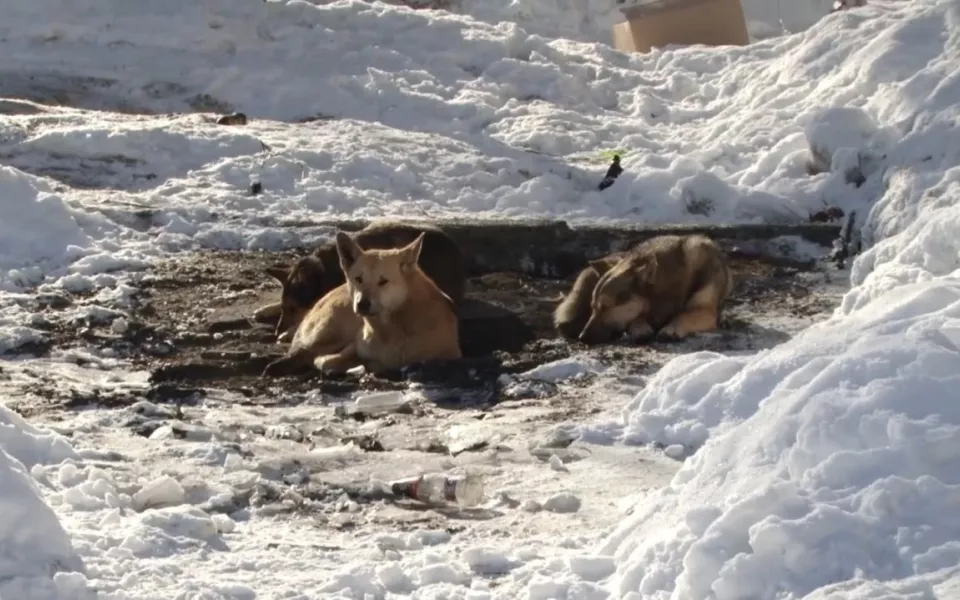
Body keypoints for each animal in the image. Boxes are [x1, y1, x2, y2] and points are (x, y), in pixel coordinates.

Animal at [253, 220, 466, 342]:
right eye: (284, 307)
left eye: (293, 308)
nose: (277, 331)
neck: (323, 272)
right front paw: (266, 309)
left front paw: (289, 331)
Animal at [552, 236, 732, 344]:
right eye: (594, 308)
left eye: (606, 308)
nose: (582, 338)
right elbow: (637, 316)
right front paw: (639, 327)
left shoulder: (706, 312)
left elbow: (684, 315)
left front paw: (671, 328)